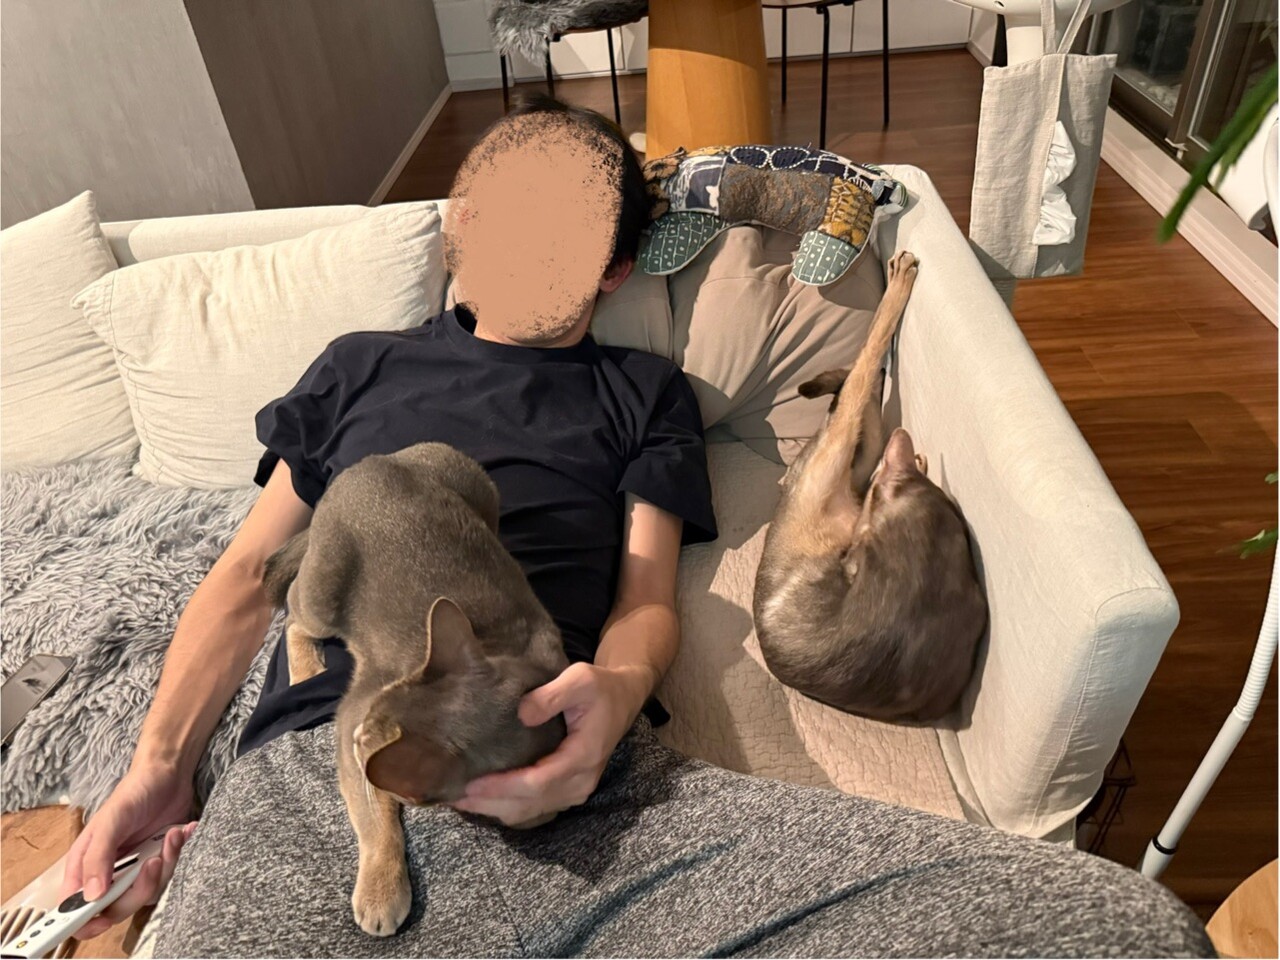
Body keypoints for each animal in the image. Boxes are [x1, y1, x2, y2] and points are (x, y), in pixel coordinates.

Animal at [263, 442, 568, 936]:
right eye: (359, 733)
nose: (358, 736)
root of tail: (369, 464)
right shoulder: (352, 713)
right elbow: (375, 819)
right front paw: (382, 890)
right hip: (322, 596)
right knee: (292, 614)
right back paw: (307, 671)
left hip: (476, 486)